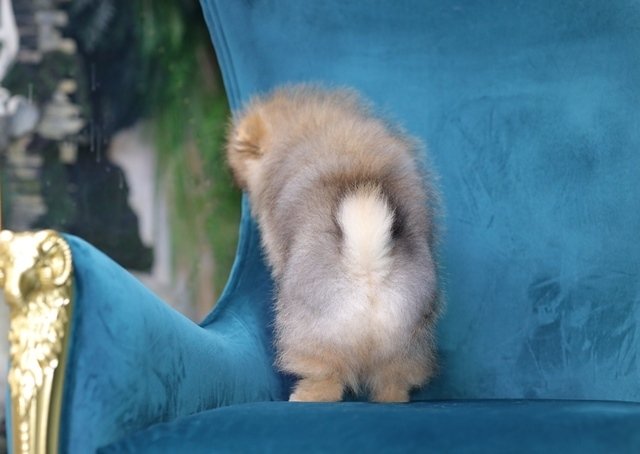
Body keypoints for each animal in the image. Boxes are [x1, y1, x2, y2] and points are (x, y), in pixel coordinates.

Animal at [226, 85, 441, 402]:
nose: (233, 177)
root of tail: (368, 265)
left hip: (309, 333)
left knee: (328, 377)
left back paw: (304, 395)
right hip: (406, 342)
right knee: (392, 381)